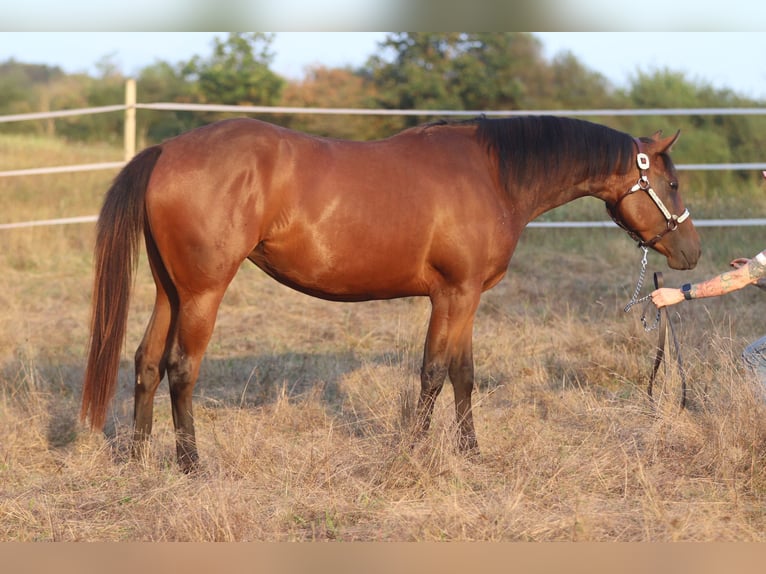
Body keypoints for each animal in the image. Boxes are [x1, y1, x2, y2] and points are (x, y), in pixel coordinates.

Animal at [81, 115, 701, 472]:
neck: (491, 174)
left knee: (146, 362)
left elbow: (463, 374)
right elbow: (433, 372)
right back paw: (191, 464)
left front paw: (471, 452)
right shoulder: (453, 296)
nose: (691, 253)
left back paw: (138, 459)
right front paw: (413, 451)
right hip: (204, 292)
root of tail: (165, 151)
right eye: (671, 183)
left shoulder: (466, 297)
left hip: (171, 290)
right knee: (182, 368)